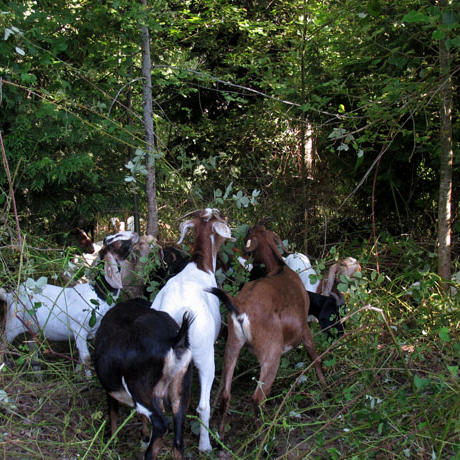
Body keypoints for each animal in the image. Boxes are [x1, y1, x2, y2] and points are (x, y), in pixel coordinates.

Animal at [0, 230, 139, 374]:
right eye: (117, 243)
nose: (135, 233)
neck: (97, 294)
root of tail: (10, 295)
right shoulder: (79, 329)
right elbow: (86, 358)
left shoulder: (93, 332)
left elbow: (81, 358)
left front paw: (77, 373)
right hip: (12, 324)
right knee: (3, 344)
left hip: (33, 329)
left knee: (33, 348)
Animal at [94, 298, 193, 460]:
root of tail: (175, 341)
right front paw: (144, 436)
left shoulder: (111, 391)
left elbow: (113, 413)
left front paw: (112, 442)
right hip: (180, 387)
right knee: (178, 439)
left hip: (139, 388)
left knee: (161, 424)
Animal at [151, 209, 234, 452]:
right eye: (221, 218)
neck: (199, 265)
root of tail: (179, 315)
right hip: (204, 355)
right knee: (202, 406)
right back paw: (205, 446)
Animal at [208, 223, 328, 438]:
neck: (279, 268)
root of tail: (240, 307)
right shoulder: (304, 327)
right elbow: (315, 356)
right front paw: (324, 385)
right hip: (271, 352)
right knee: (257, 398)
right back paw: (262, 433)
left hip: (233, 345)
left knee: (226, 394)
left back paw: (221, 434)